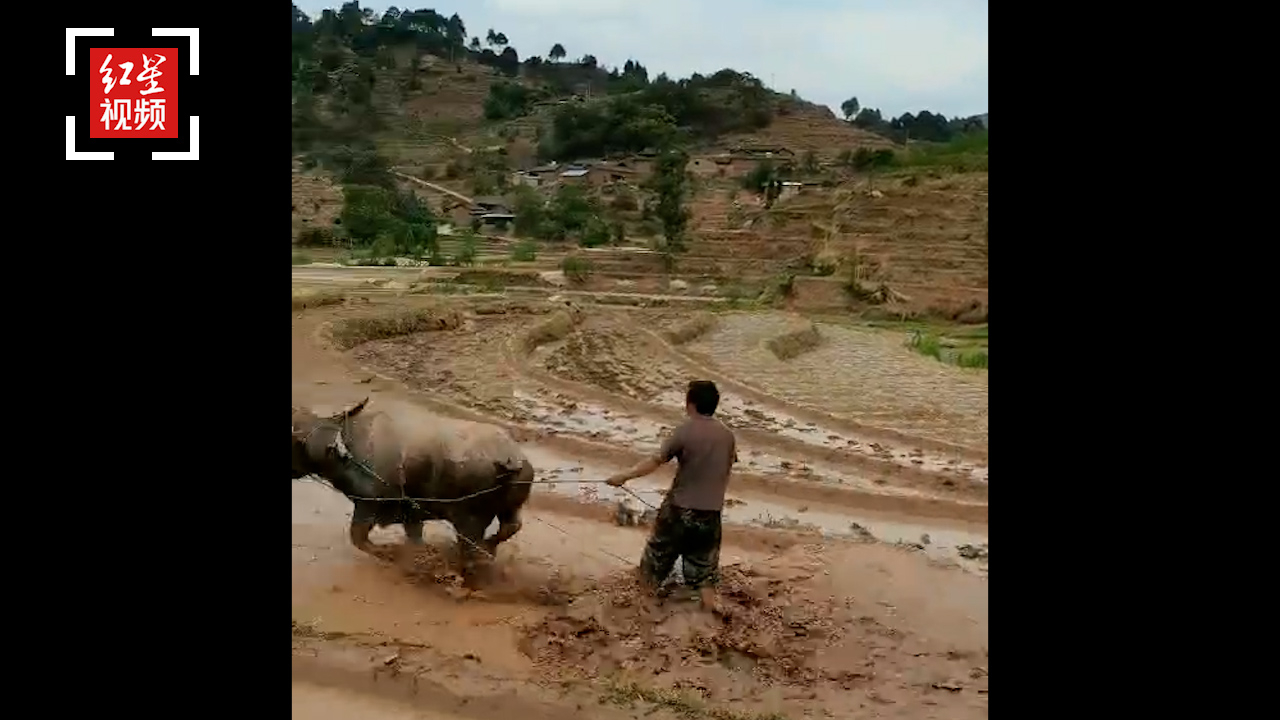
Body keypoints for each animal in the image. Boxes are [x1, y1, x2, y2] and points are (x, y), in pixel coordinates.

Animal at [290, 394, 529, 573]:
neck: (345, 447)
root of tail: (511, 459)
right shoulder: (410, 511)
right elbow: (413, 538)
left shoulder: (369, 504)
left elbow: (357, 537)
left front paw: (390, 553)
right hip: (508, 507)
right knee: (511, 526)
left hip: (469, 519)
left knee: (471, 547)